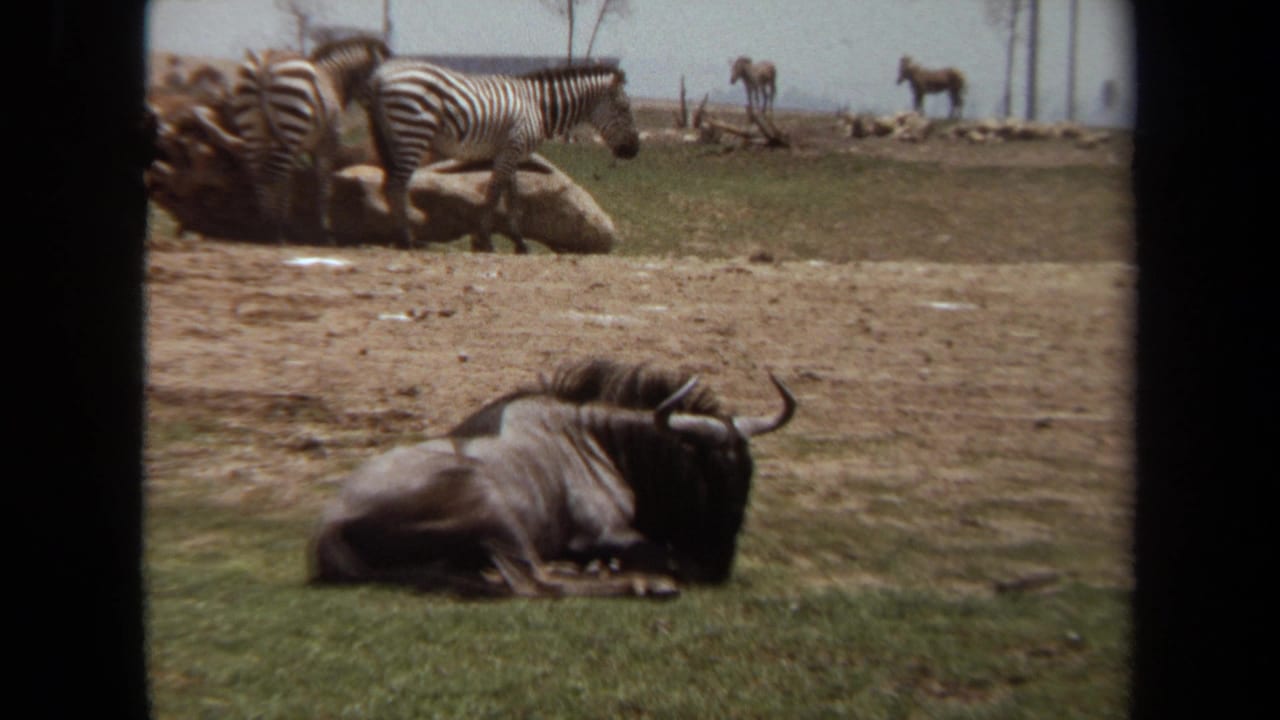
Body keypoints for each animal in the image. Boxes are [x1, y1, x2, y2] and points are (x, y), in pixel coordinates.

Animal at [226, 36, 390, 245]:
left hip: (255, 130)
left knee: (259, 175)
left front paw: (290, 220)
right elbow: (323, 187)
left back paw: (264, 225)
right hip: (291, 125)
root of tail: (265, 63)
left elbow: (290, 184)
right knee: (273, 175)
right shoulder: (326, 145)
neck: (334, 80)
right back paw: (275, 231)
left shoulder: (298, 149)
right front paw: (325, 232)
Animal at [367, 60, 640, 252]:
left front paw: (518, 242)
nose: (634, 150)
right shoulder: (512, 148)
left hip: (394, 138)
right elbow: (494, 192)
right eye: (624, 109)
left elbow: (511, 196)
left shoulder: (513, 152)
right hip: (413, 131)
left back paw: (395, 236)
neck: (539, 107)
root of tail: (380, 76)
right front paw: (484, 241)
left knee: (389, 184)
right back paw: (407, 239)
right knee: (397, 184)